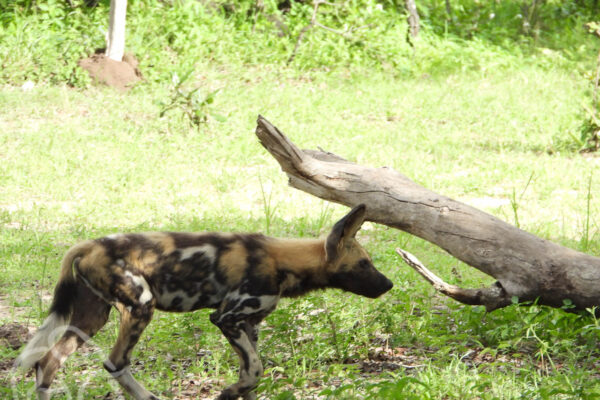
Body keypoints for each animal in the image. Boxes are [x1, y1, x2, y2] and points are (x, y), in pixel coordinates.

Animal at [15, 205, 394, 398]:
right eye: (364, 264)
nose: (388, 284)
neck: (283, 261)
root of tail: (89, 245)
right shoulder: (227, 318)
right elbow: (255, 369)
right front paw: (228, 392)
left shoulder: (248, 326)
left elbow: (251, 374)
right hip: (140, 307)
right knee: (114, 362)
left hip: (92, 318)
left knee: (48, 361)